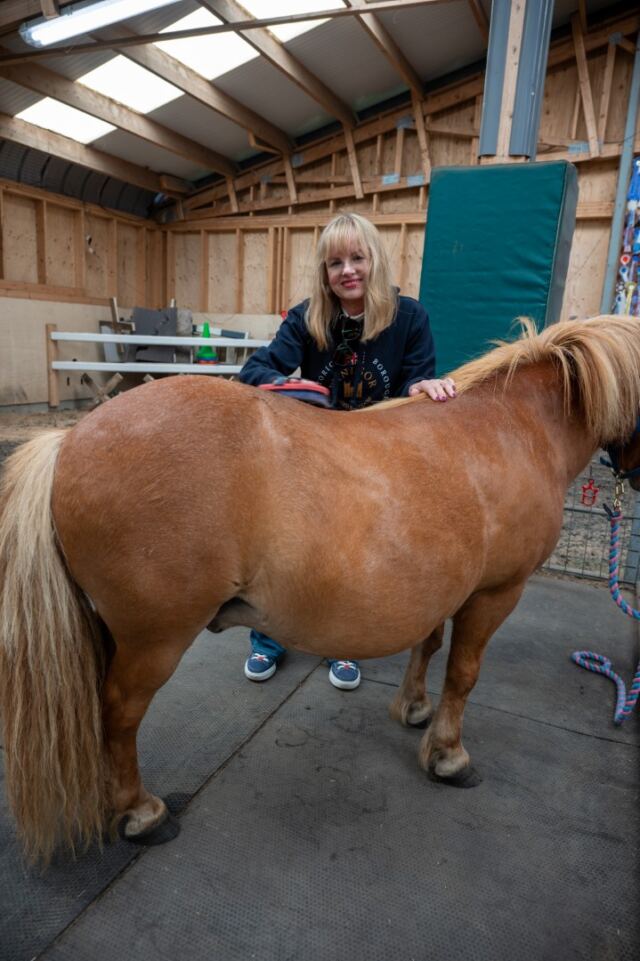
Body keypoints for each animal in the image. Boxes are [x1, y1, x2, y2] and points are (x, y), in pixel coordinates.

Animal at [2, 313, 640, 864]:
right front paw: (449, 755)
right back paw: (141, 813)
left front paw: (415, 709)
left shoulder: (446, 588)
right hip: (153, 642)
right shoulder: (494, 593)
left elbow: (429, 647)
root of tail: (69, 441)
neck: (514, 428)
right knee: (118, 714)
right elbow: (462, 674)